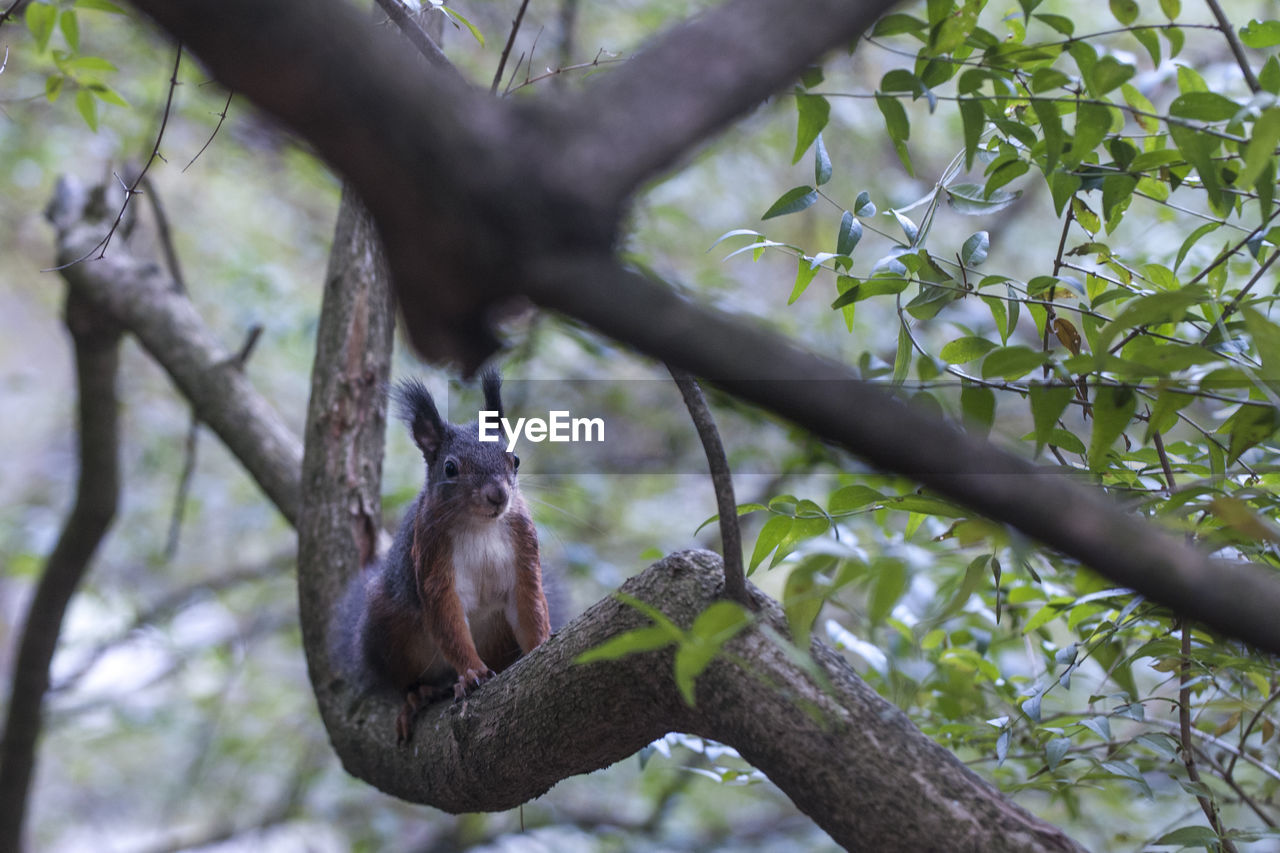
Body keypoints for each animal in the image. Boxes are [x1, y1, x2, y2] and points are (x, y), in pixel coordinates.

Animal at [330, 368, 550, 742]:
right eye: (450, 468)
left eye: (515, 460)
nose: (498, 495)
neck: (479, 524)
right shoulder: (431, 553)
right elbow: (446, 616)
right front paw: (473, 673)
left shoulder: (523, 545)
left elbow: (528, 601)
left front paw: (541, 646)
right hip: (388, 628)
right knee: (405, 679)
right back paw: (421, 694)